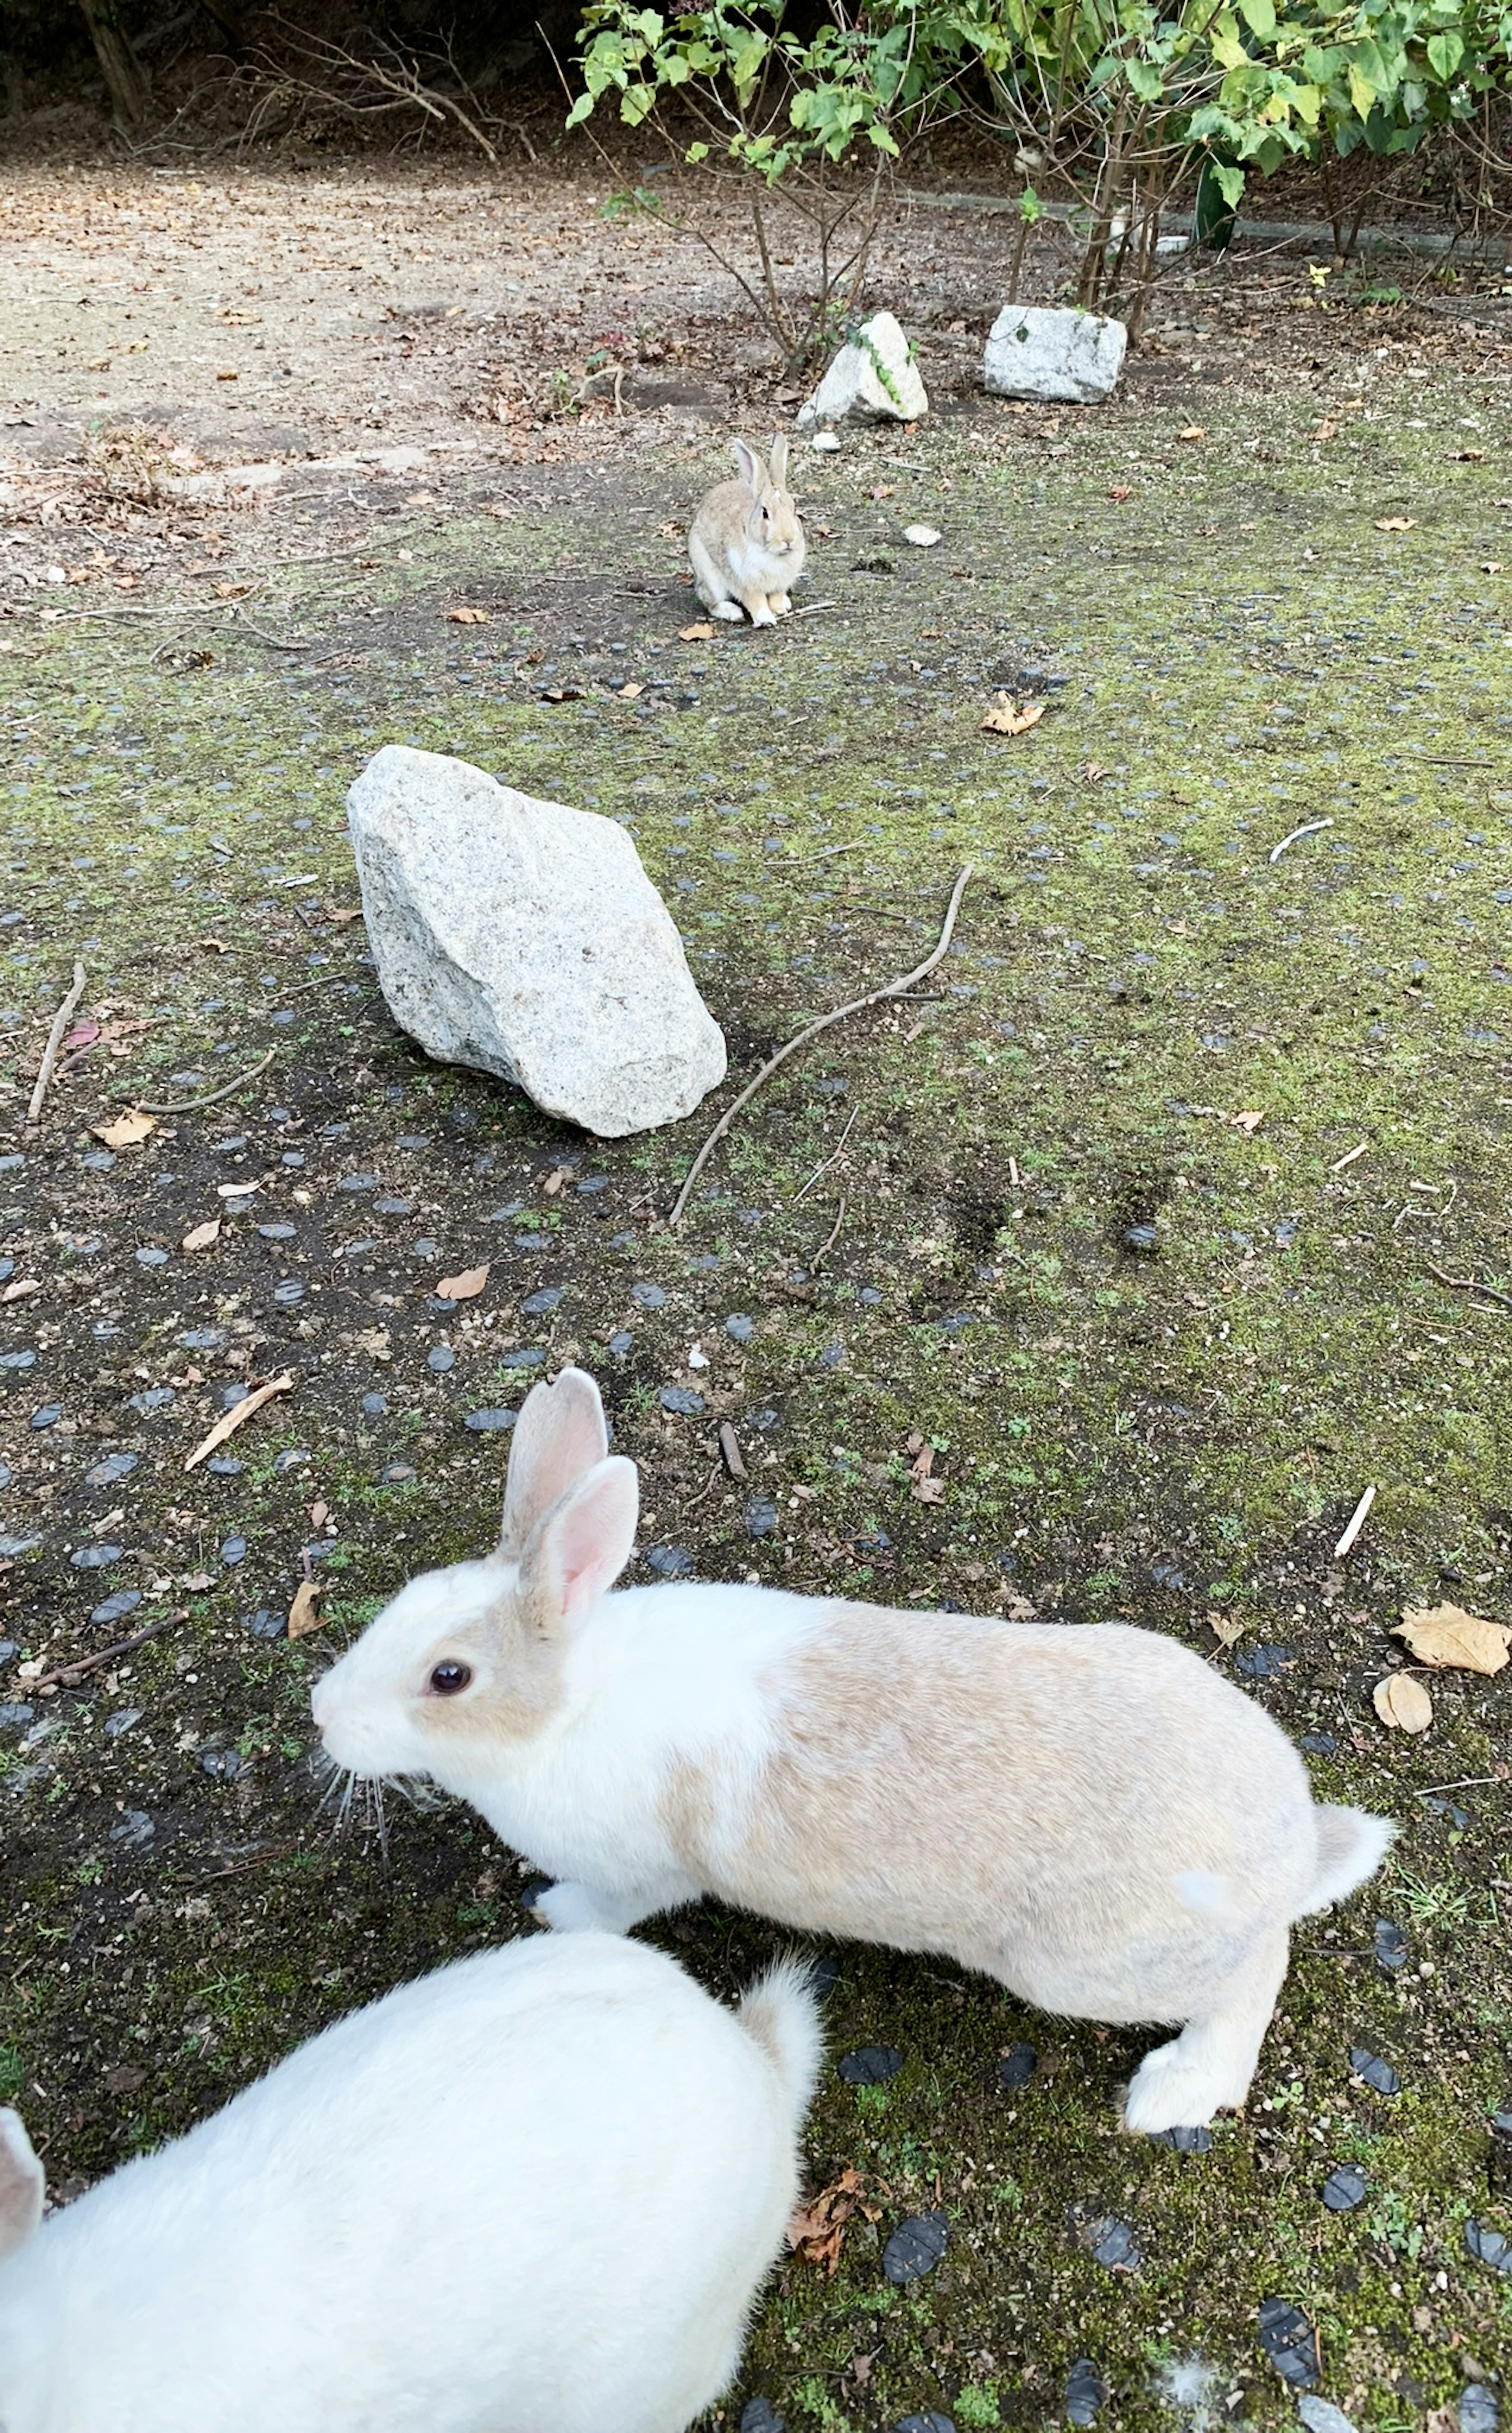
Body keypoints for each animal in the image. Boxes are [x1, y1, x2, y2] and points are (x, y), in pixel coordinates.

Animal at [316, 1372, 1400, 2131]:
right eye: (403, 1601)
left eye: (448, 1676)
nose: (324, 1714)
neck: (570, 1699)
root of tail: (1292, 1846)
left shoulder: (641, 1872)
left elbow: (610, 1909)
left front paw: (551, 1910)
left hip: (1084, 1967)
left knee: (1253, 1974)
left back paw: (1171, 2091)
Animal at [690, 438, 807, 627]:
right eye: (765, 513)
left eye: (795, 510)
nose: (788, 540)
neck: (772, 553)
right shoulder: (746, 585)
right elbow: (756, 601)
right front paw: (766, 620)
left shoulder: (780, 585)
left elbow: (775, 597)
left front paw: (779, 610)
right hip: (709, 576)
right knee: (711, 603)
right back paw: (732, 612)